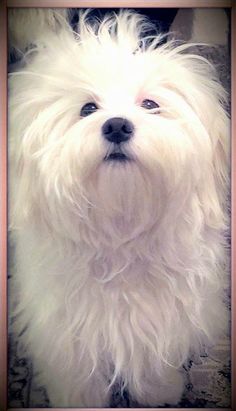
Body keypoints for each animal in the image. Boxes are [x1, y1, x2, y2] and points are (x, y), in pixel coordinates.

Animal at [8, 8, 230, 408]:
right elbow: (80, 377)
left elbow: (155, 358)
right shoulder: (68, 332)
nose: (116, 126)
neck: (121, 229)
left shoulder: (165, 318)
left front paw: (160, 391)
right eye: (87, 108)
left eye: (150, 104)